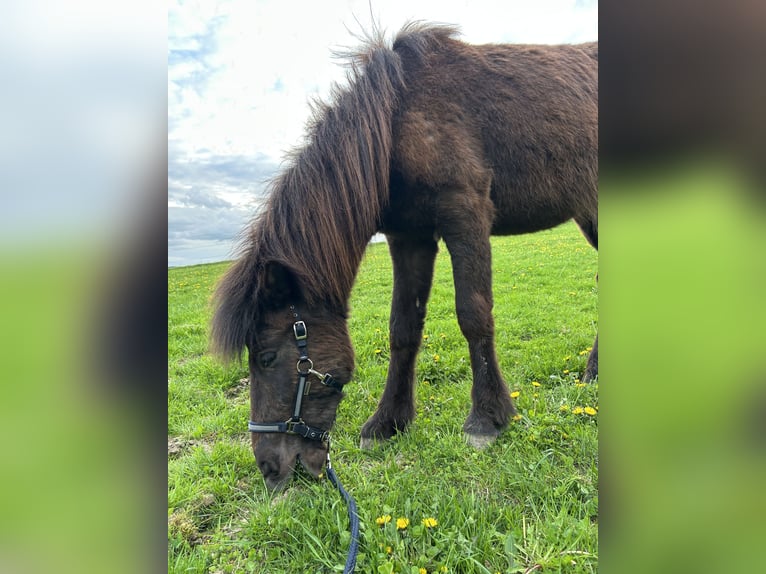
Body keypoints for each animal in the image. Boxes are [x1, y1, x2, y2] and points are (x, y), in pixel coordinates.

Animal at [211, 23, 598, 490]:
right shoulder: (408, 237)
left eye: (266, 357)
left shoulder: (466, 216)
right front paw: (387, 423)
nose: (269, 468)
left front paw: (487, 419)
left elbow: (474, 316)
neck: (396, 121)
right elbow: (403, 329)